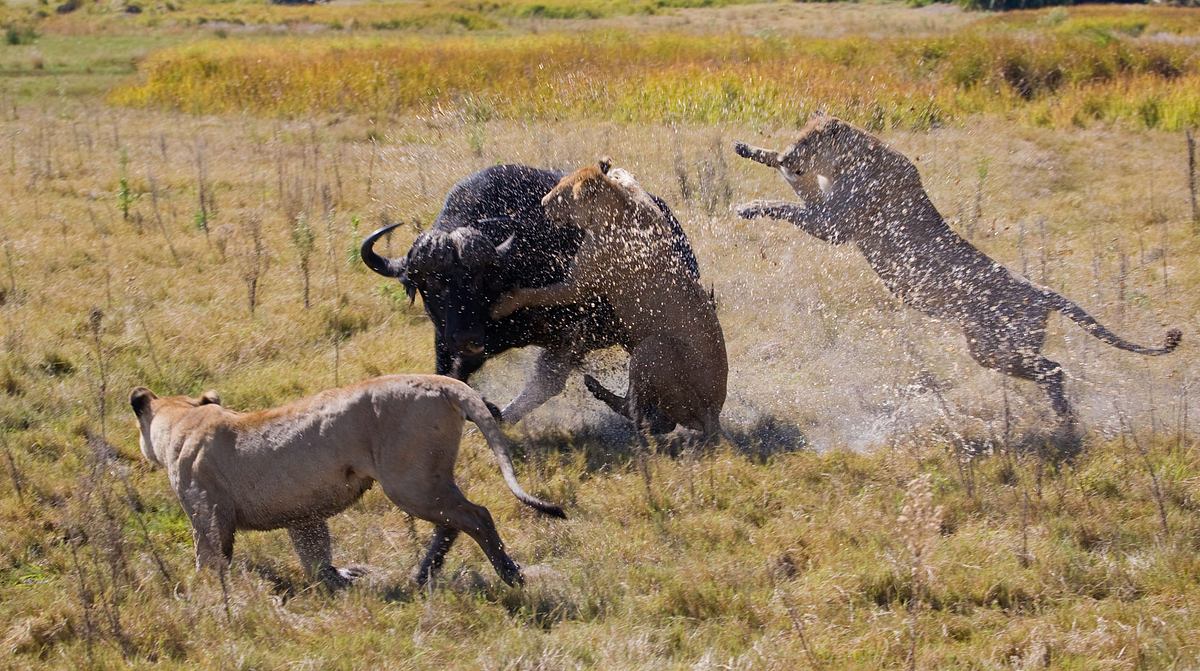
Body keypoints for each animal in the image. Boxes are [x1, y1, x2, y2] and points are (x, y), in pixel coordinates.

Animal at [360, 164, 700, 422]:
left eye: (482, 281)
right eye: (431, 285)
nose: (468, 339)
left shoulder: (572, 331)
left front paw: (492, 408)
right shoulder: (445, 338)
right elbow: (448, 373)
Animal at [729, 112, 1180, 439]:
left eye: (808, 141)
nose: (792, 153)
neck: (853, 155)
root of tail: (1042, 291)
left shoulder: (832, 227)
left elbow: (786, 203)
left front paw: (750, 204)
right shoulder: (825, 212)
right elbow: (792, 187)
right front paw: (752, 149)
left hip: (996, 346)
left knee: (1053, 370)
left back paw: (1065, 424)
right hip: (988, 349)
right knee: (1052, 368)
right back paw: (1062, 420)